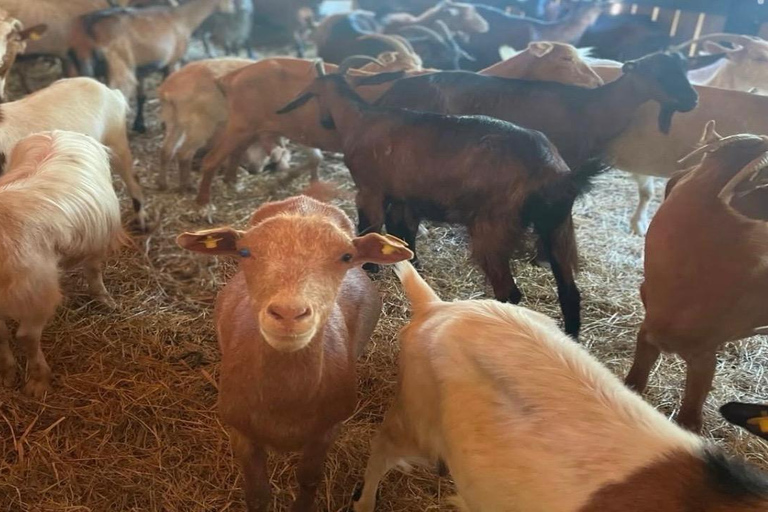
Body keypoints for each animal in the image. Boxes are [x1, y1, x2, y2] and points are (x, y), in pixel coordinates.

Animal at [0, 131, 124, 398]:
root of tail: (58, 132)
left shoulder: (37, 295)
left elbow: (25, 337)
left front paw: (37, 382)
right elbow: (1, 335)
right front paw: (7, 374)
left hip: (96, 238)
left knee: (93, 269)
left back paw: (104, 299)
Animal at [70, 0, 235, 133]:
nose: (232, 10)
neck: (183, 18)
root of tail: (89, 28)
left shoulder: (141, 68)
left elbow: (141, 96)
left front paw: (139, 125)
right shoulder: (171, 62)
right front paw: (164, 124)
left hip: (81, 63)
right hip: (120, 66)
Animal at [176, 195, 412, 512]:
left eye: (346, 256)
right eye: (244, 251)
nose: (288, 313)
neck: (284, 400)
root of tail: (305, 202)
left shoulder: (326, 431)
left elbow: (308, 479)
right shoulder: (241, 433)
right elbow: (257, 494)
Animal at [193, 41, 607, 206]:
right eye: (565, 59)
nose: (598, 83)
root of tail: (234, 75)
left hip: (251, 126)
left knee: (231, 157)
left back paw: (232, 186)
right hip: (240, 123)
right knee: (212, 159)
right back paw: (203, 204)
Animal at [277, 61, 605, 337]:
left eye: (314, 96)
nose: (325, 122)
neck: (359, 119)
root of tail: (556, 174)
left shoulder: (370, 189)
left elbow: (370, 226)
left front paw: (369, 270)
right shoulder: (405, 198)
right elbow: (403, 234)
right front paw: (409, 265)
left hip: (494, 228)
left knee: (510, 293)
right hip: (559, 227)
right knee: (569, 291)